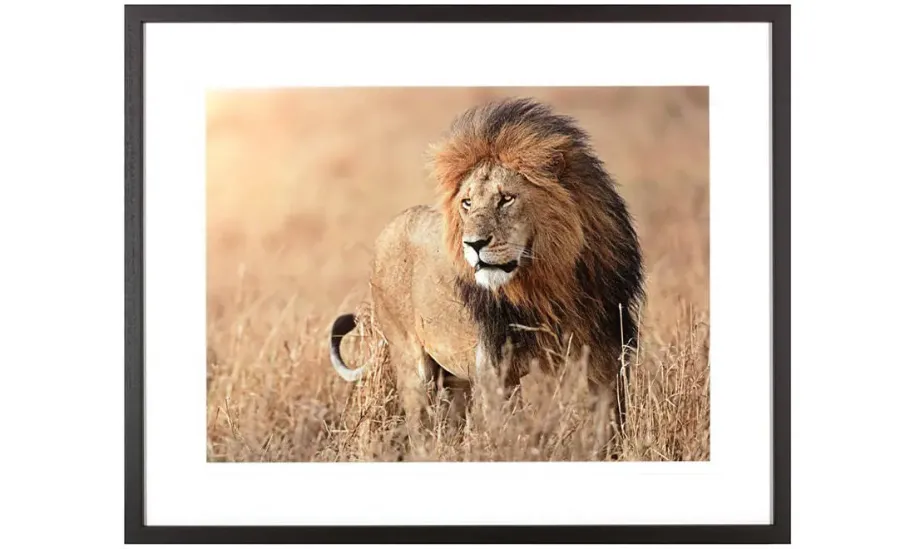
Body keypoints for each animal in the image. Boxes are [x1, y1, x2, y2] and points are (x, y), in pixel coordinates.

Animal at [329, 98, 645, 453]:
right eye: (467, 203)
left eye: (506, 198)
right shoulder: (494, 369)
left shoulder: (606, 354)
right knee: (420, 428)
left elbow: (609, 424)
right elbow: (508, 431)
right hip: (412, 363)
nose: (473, 244)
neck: (548, 285)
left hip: (455, 379)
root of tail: (387, 230)